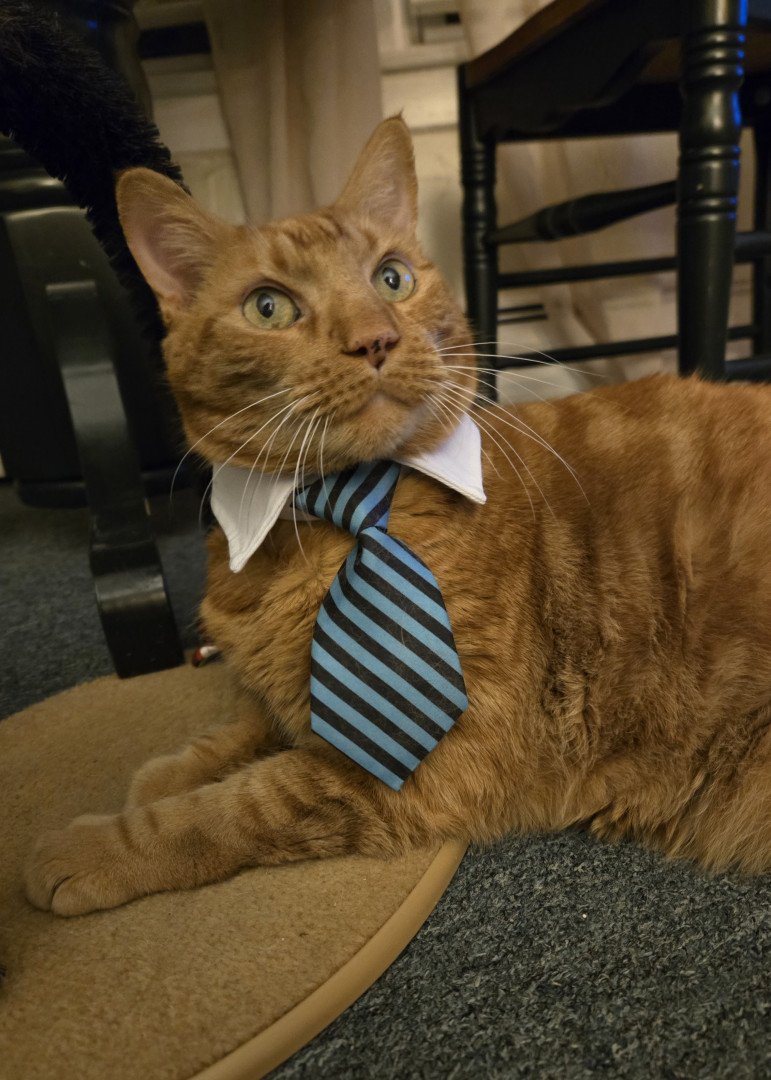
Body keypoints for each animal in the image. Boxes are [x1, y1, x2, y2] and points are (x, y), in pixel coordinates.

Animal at [8, 12, 771, 918]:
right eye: (269, 306)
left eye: (392, 277)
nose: (374, 338)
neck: (335, 518)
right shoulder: (294, 697)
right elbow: (251, 721)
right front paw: (170, 766)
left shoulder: (438, 761)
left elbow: (237, 802)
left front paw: (96, 844)